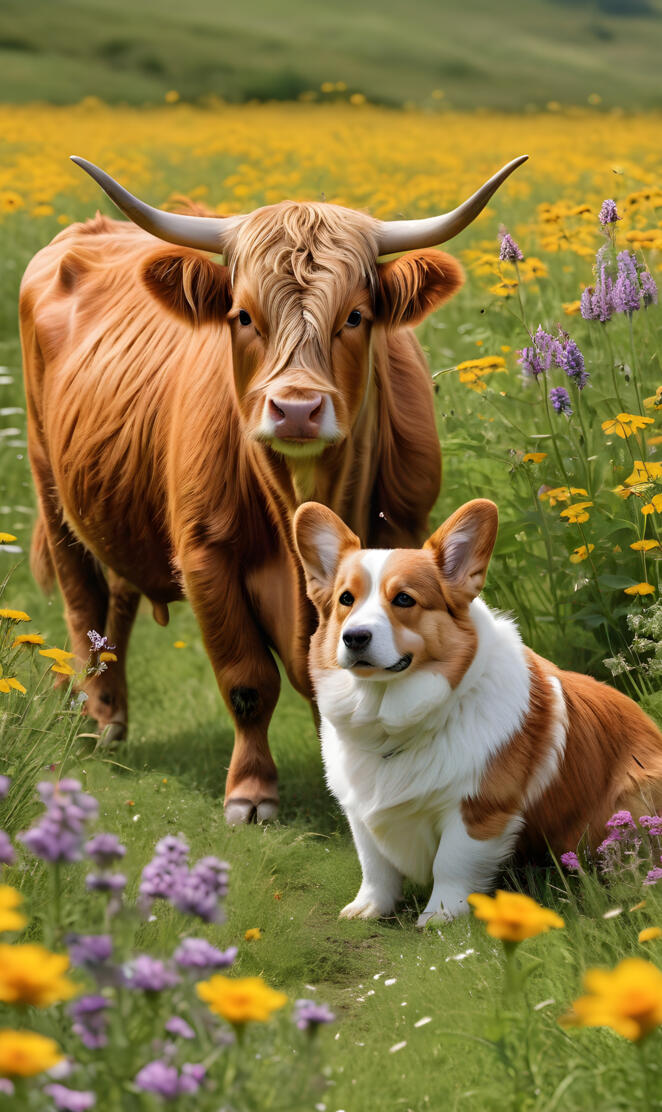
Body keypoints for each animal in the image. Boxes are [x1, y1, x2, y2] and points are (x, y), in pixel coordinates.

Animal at [19, 154, 526, 823]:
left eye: (355, 316)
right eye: (242, 316)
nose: (296, 409)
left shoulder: (404, 532)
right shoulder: (206, 555)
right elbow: (247, 679)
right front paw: (251, 793)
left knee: (119, 601)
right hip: (49, 483)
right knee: (83, 600)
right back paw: (98, 721)